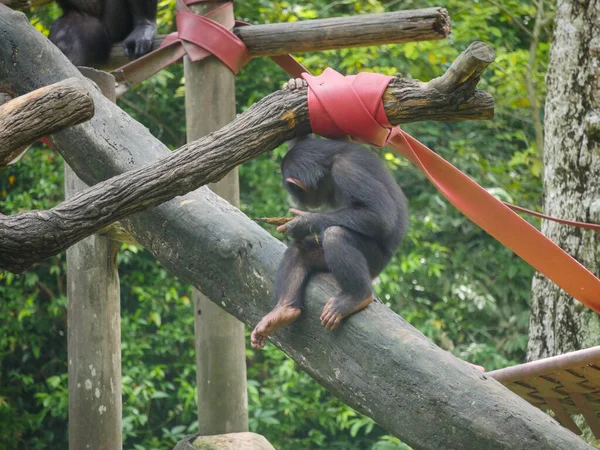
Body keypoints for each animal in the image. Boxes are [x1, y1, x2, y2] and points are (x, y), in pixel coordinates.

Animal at [248, 80, 408, 348]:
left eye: (293, 190)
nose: (294, 199)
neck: (329, 165)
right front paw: (295, 84)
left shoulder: (347, 170)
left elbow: (380, 215)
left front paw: (302, 222)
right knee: (300, 251)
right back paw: (282, 312)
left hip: (374, 263)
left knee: (335, 235)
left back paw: (357, 297)